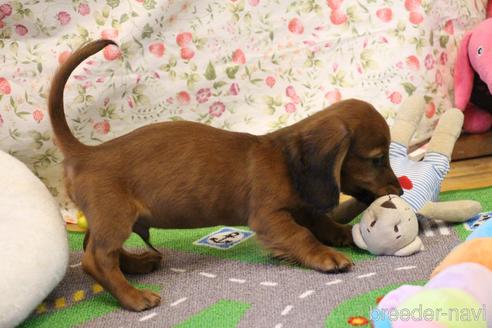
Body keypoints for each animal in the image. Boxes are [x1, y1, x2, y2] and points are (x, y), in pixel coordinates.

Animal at [49, 39, 404, 312]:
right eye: (377, 159)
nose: (399, 193)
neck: (284, 160)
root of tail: (86, 153)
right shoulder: (269, 216)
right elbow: (301, 235)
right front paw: (326, 255)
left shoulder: (301, 204)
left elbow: (321, 222)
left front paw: (343, 232)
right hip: (116, 216)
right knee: (96, 259)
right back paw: (134, 297)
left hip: (108, 219)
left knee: (95, 246)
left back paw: (138, 265)